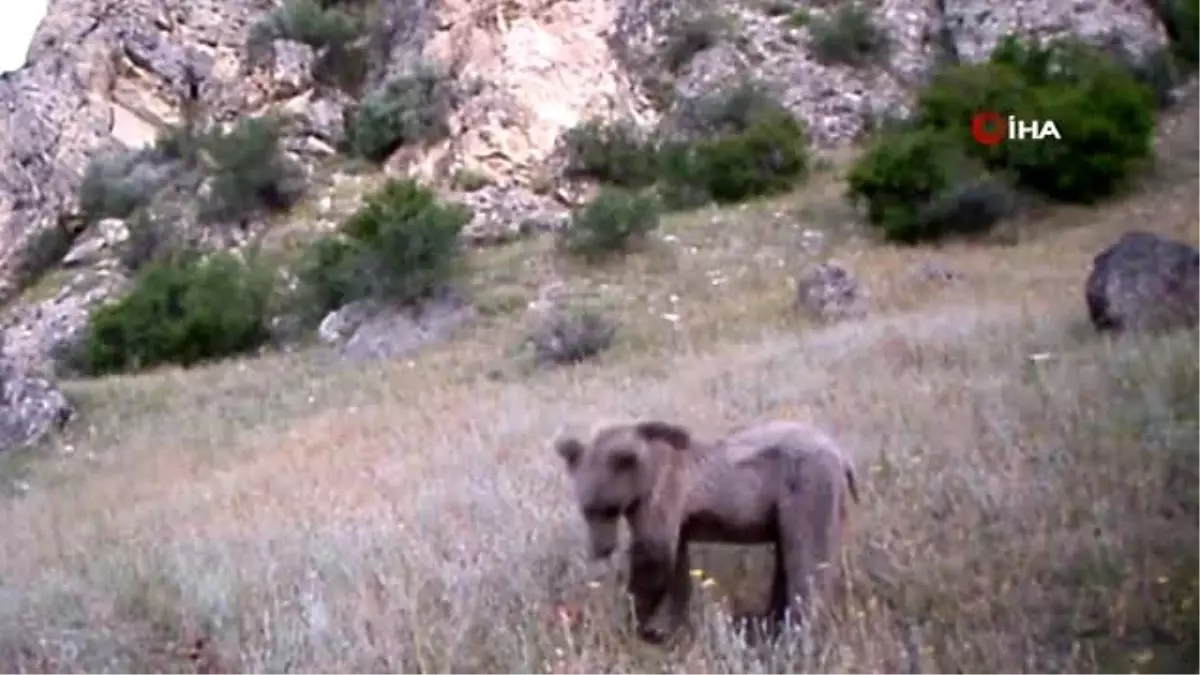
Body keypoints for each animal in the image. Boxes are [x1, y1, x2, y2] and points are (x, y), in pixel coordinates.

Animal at [556, 415, 859, 638]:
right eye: (586, 509)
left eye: (607, 508)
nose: (602, 549)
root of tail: (842, 455)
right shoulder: (675, 517)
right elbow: (676, 565)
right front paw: (668, 627)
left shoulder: (663, 493)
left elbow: (653, 557)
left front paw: (636, 621)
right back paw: (767, 620)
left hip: (807, 489)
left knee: (808, 561)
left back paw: (792, 631)